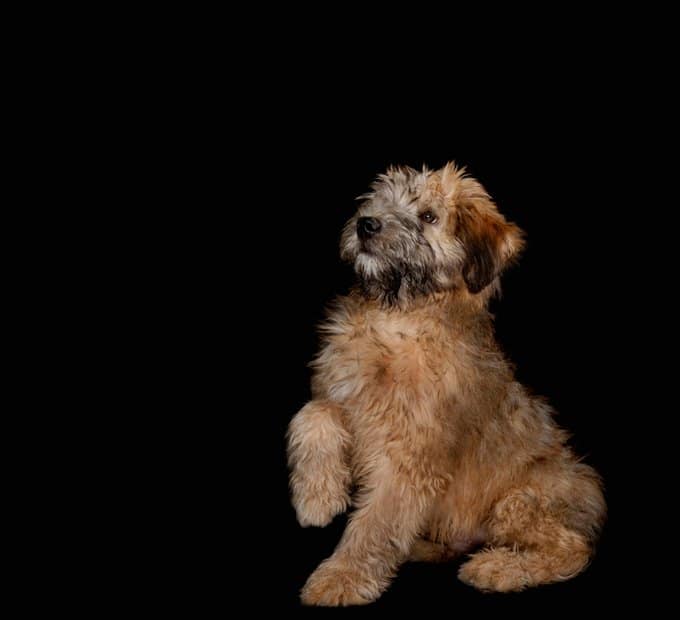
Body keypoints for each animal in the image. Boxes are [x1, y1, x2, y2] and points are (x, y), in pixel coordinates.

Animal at [286, 163, 604, 604]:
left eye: (429, 216)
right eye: (379, 199)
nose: (366, 224)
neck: (398, 317)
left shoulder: (410, 455)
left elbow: (375, 524)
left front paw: (341, 577)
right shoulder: (342, 394)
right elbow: (312, 414)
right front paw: (316, 497)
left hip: (520, 501)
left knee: (572, 547)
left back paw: (498, 568)